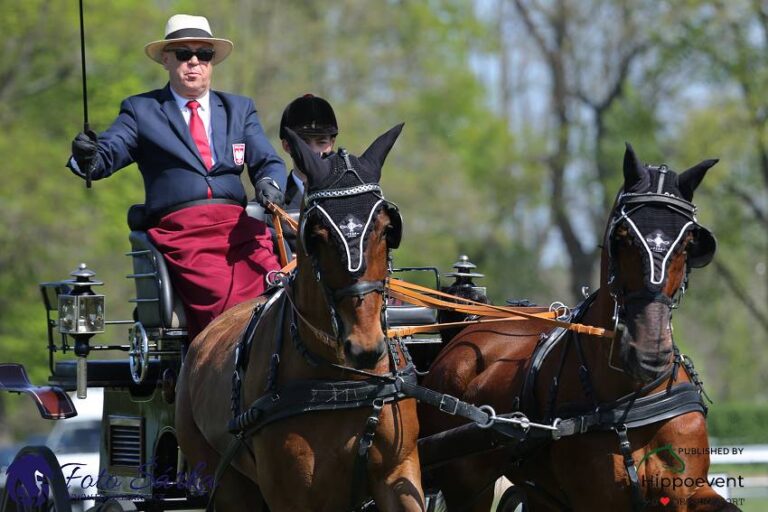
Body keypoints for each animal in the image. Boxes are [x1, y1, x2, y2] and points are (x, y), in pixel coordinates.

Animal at [176, 125, 426, 512]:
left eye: (388, 229)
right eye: (318, 235)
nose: (365, 346)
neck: (344, 380)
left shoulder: (398, 473)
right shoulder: (293, 495)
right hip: (227, 484)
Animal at [420, 145, 736, 512]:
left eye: (688, 243)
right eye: (623, 238)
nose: (648, 351)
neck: (630, 399)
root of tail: (465, 330)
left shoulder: (686, 490)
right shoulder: (596, 499)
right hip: (468, 485)